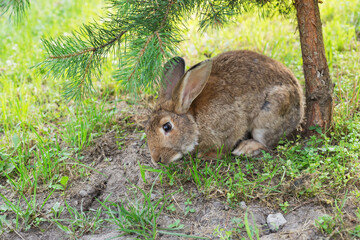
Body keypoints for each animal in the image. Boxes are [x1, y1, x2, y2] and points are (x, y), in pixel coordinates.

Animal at [145, 50, 302, 165]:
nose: (156, 159)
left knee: (267, 142)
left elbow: (224, 148)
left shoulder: (232, 124)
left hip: (270, 113)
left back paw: (246, 148)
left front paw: (207, 155)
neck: (195, 120)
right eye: (146, 129)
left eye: (167, 126)